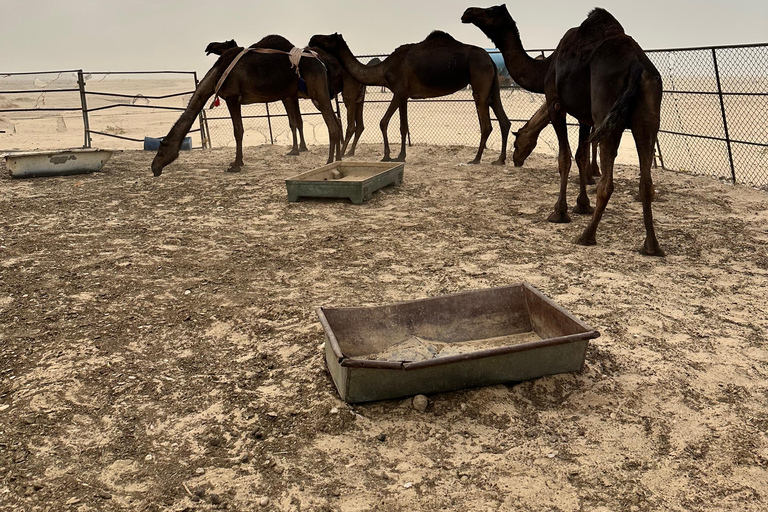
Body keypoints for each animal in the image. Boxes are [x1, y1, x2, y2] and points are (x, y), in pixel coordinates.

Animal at [152, 34, 340, 177]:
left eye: (162, 148)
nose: (154, 167)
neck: (216, 74)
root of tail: (321, 63)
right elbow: (240, 129)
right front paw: (238, 162)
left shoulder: (232, 97)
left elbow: (238, 131)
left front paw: (235, 165)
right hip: (316, 94)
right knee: (336, 123)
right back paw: (338, 159)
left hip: (318, 91)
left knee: (332, 125)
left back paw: (329, 162)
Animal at [306, 30, 510, 165]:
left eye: (328, 37)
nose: (312, 38)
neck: (384, 70)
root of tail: (490, 59)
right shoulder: (404, 95)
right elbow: (403, 127)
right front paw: (400, 156)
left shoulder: (399, 91)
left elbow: (383, 122)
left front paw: (386, 156)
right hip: (492, 85)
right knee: (504, 120)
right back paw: (499, 160)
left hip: (480, 79)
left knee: (486, 124)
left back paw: (476, 159)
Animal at [462, 5, 664, 255]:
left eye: (490, 11)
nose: (467, 12)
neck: (545, 67)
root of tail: (637, 66)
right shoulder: (585, 116)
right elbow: (580, 156)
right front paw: (581, 205)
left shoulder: (555, 103)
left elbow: (564, 158)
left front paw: (559, 211)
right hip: (646, 119)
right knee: (646, 182)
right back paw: (651, 246)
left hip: (607, 111)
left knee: (607, 183)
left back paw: (587, 235)